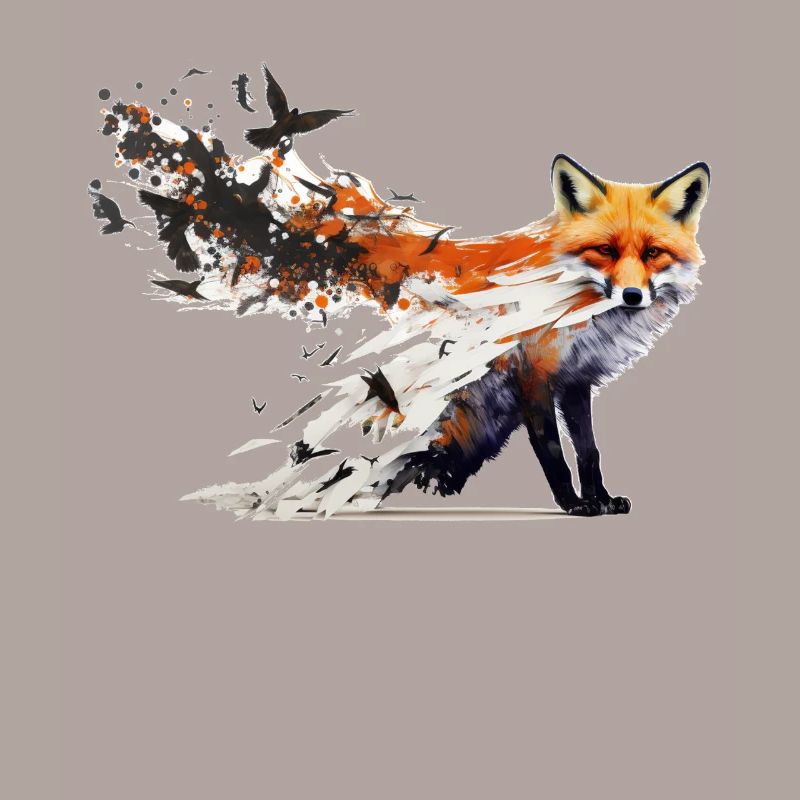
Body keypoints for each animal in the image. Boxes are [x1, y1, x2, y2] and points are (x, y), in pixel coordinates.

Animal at [97, 85, 709, 519]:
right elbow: (555, 453)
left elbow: (589, 450)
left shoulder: (576, 381)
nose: (632, 295)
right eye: (604, 250)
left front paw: (600, 498)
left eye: (652, 253)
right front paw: (574, 504)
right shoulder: (533, 374)